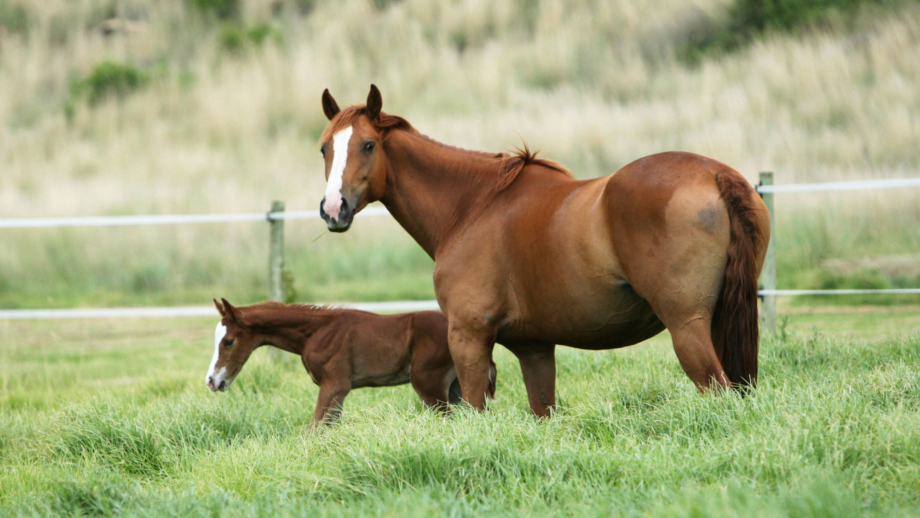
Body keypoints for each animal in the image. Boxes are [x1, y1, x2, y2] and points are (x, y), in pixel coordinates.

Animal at [205, 298, 497, 425]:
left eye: (228, 341)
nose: (212, 381)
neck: (316, 331)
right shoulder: (339, 392)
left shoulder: (334, 385)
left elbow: (315, 427)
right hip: (455, 387)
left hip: (429, 384)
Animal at [316, 85, 770, 417]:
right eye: (324, 148)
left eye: (369, 145)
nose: (334, 209)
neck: (473, 205)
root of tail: (715, 174)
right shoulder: (534, 349)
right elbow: (543, 409)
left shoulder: (468, 338)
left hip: (687, 327)